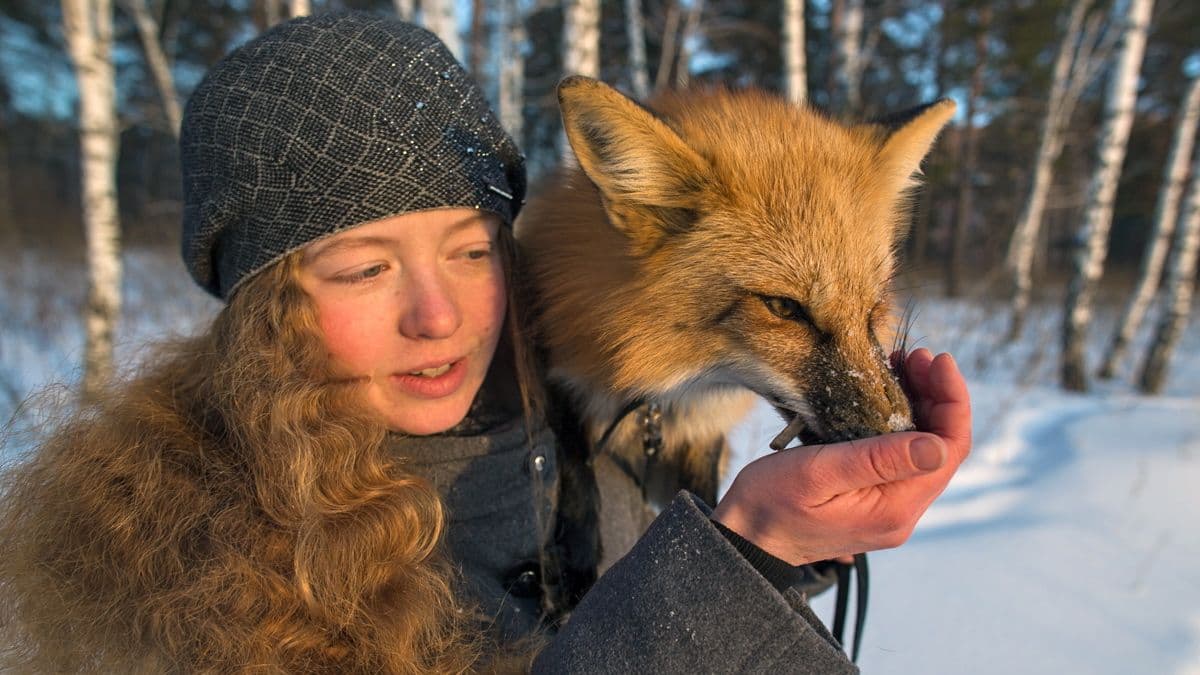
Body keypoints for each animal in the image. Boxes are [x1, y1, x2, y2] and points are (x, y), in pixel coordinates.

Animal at [516, 76, 955, 581]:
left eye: (875, 305)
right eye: (784, 308)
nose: (899, 429)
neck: (667, 389)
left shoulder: (701, 438)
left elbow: (702, 497)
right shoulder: (559, 367)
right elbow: (571, 455)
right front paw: (574, 559)